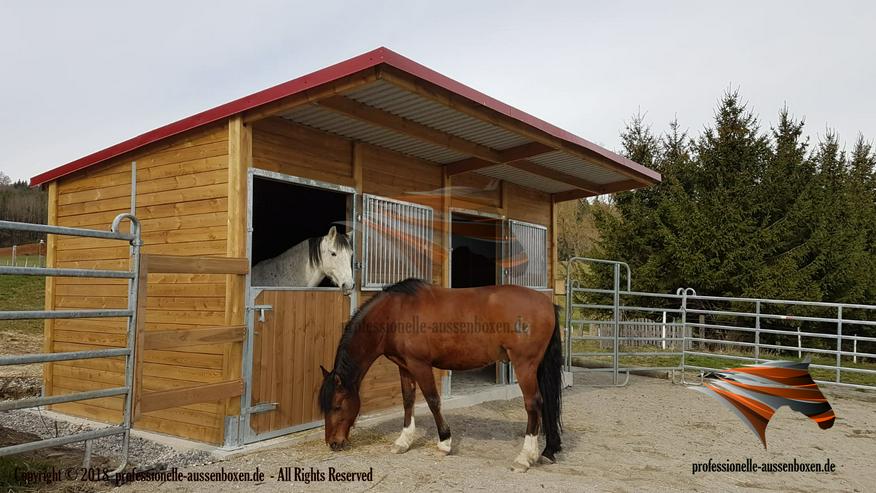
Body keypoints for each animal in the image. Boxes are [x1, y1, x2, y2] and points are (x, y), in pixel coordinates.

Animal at [320, 278, 560, 470]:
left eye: (337, 406)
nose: (333, 443)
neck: (395, 313)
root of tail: (547, 302)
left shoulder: (420, 365)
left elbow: (433, 400)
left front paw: (444, 442)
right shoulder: (404, 366)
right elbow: (408, 400)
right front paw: (403, 441)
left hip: (524, 365)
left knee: (533, 404)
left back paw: (525, 457)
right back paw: (549, 450)